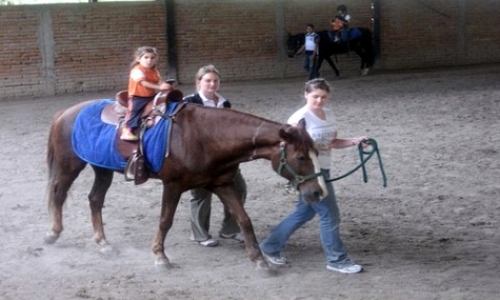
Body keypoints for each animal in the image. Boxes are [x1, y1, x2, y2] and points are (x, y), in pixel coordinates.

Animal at [44, 95, 328, 272]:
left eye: (317, 152)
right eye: (301, 156)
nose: (318, 192)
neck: (204, 136)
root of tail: (66, 113)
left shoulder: (222, 185)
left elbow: (244, 219)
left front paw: (260, 261)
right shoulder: (172, 185)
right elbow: (165, 221)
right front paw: (160, 257)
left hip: (102, 169)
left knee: (95, 200)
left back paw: (103, 244)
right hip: (70, 166)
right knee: (58, 194)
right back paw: (53, 234)